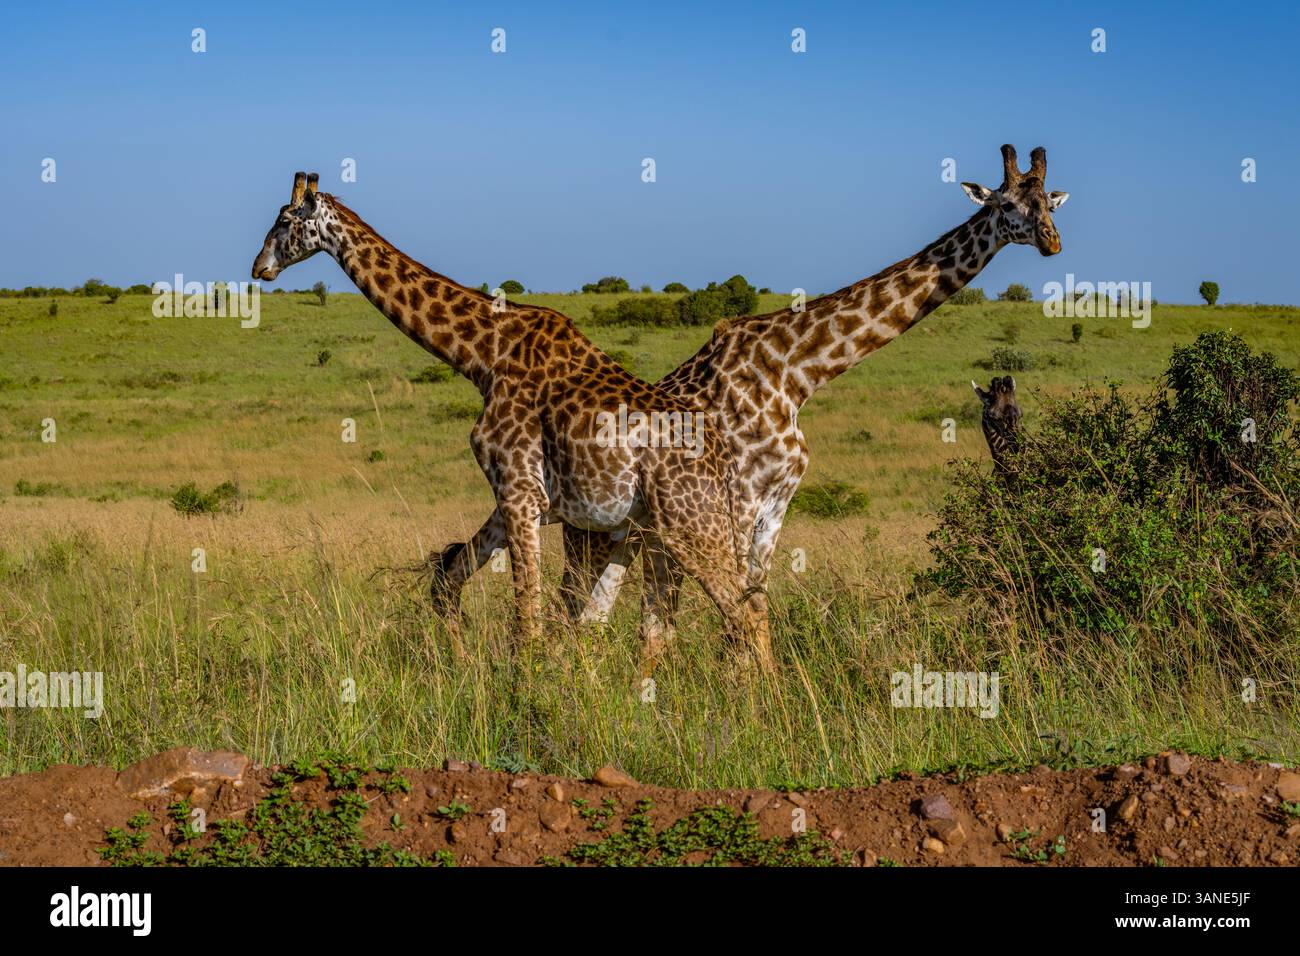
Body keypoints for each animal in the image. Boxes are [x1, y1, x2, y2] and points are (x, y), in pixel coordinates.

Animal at [250, 172, 771, 668]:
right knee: (702, 620)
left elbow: (528, 623)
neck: (483, 356)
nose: (259, 268)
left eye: (285, 220)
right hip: (667, 533)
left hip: (691, 528)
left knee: (744, 615)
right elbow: (448, 580)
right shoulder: (513, 499)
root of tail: (723, 459)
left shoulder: (520, 494)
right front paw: (463, 669)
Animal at [431, 145, 1069, 671]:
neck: (796, 370)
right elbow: (730, 616)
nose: (1051, 241)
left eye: (1050, 201)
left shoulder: (775, 504)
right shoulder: (737, 498)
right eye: (1006, 203)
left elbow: (749, 606)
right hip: (599, 533)